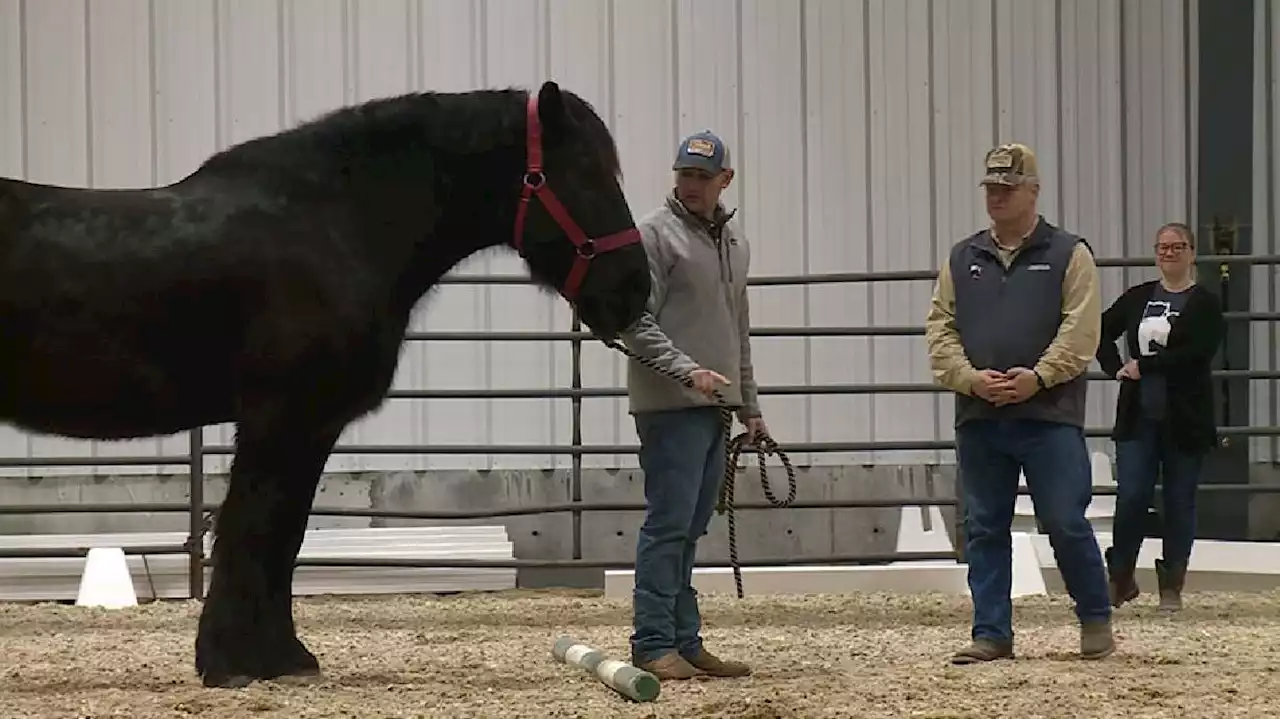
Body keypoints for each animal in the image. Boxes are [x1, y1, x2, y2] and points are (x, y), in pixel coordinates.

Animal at [0, 78, 650, 680]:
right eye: (585, 174)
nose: (633, 290)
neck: (337, 226)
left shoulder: (308, 427)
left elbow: (281, 537)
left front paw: (277, 656)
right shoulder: (282, 417)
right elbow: (256, 531)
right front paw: (236, 661)